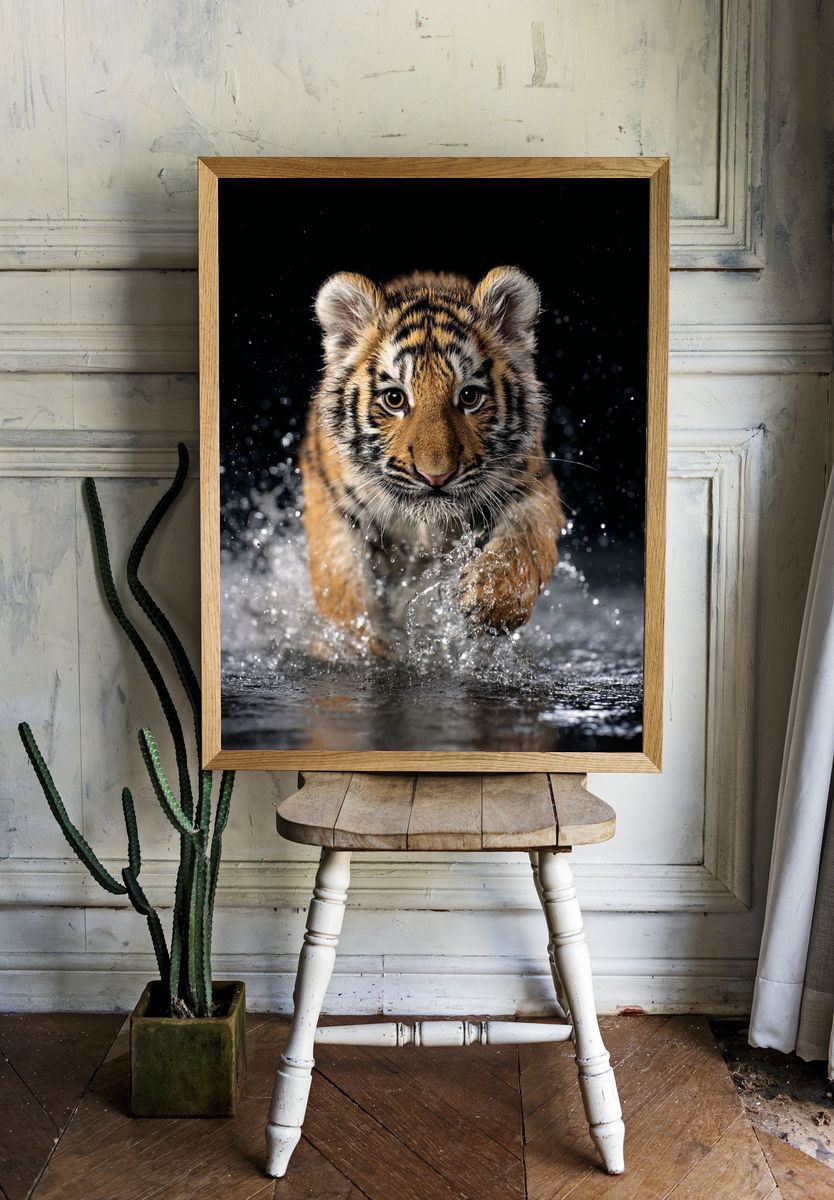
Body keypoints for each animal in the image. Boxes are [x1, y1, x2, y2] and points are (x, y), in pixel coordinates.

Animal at [299, 266, 563, 653]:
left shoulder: (531, 487)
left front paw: (489, 597)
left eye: (469, 396)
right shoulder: (335, 507)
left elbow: (523, 546)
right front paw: (363, 649)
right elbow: (344, 592)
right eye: (394, 399)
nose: (435, 476)